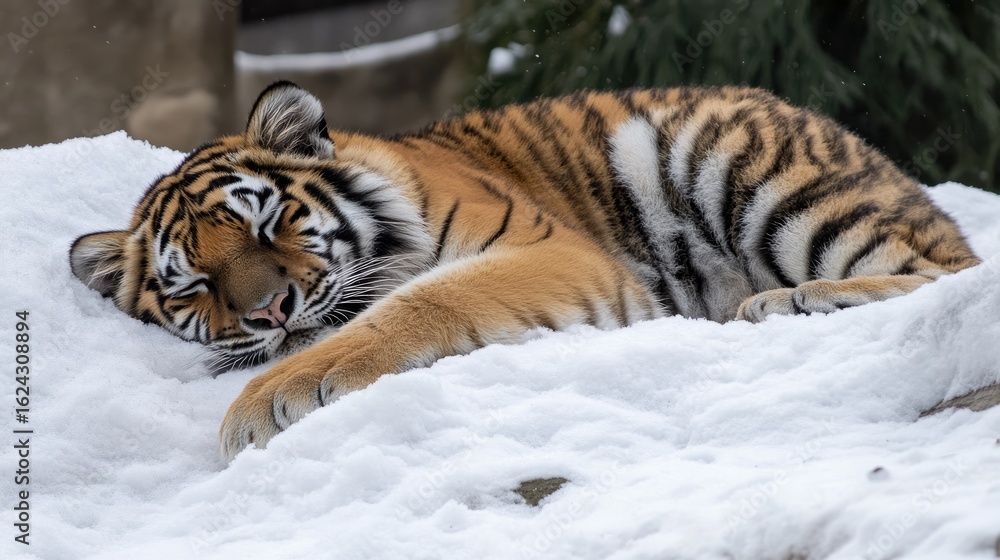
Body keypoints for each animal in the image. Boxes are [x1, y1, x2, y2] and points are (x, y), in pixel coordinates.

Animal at [70, 81, 980, 460]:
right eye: (195, 285)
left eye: (266, 225)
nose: (272, 311)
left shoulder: (549, 250)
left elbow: (419, 303)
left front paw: (269, 399)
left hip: (740, 161)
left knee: (947, 273)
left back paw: (793, 302)